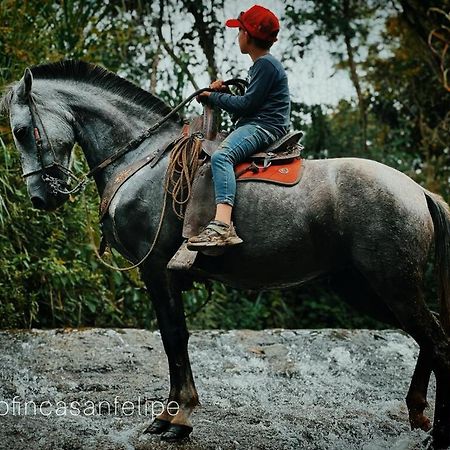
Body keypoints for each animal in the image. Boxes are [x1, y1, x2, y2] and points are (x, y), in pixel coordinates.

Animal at [0, 60, 450, 446]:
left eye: (21, 131)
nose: (40, 198)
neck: (142, 161)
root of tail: (417, 191)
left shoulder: (158, 272)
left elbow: (174, 337)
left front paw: (177, 418)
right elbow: (173, 339)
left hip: (392, 285)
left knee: (438, 341)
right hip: (364, 288)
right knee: (431, 335)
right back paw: (417, 414)